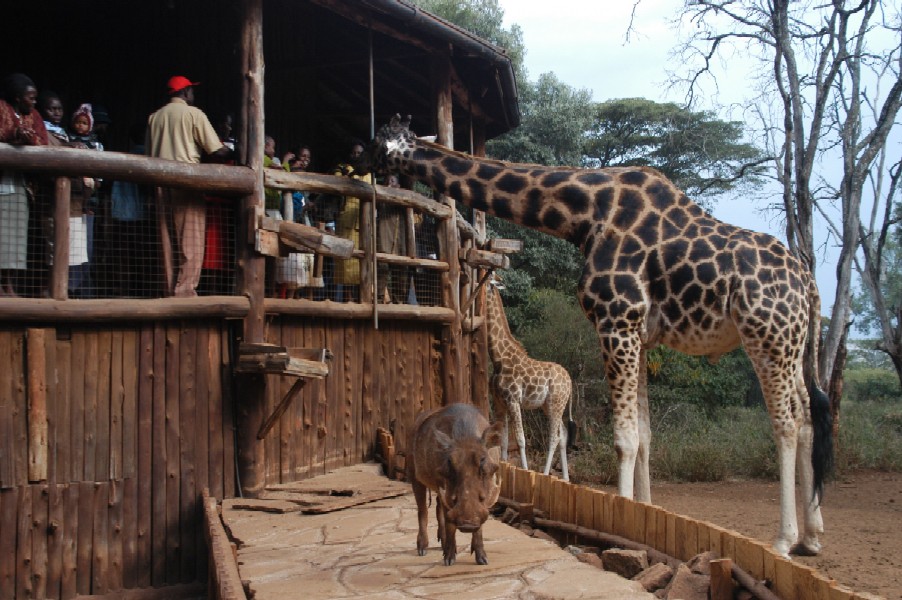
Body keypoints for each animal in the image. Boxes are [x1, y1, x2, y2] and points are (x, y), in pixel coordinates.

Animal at [364, 115, 836, 556]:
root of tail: (810, 284)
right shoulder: (640, 334)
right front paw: (645, 512)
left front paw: (623, 524)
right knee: (809, 415)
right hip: (793, 346)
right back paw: (813, 536)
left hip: (767, 337)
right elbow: (644, 434)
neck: (584, 214)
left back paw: (784, 539)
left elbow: (624, 439)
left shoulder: (616, 320)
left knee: (787, 423)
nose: (359, 165)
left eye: (377, 142)